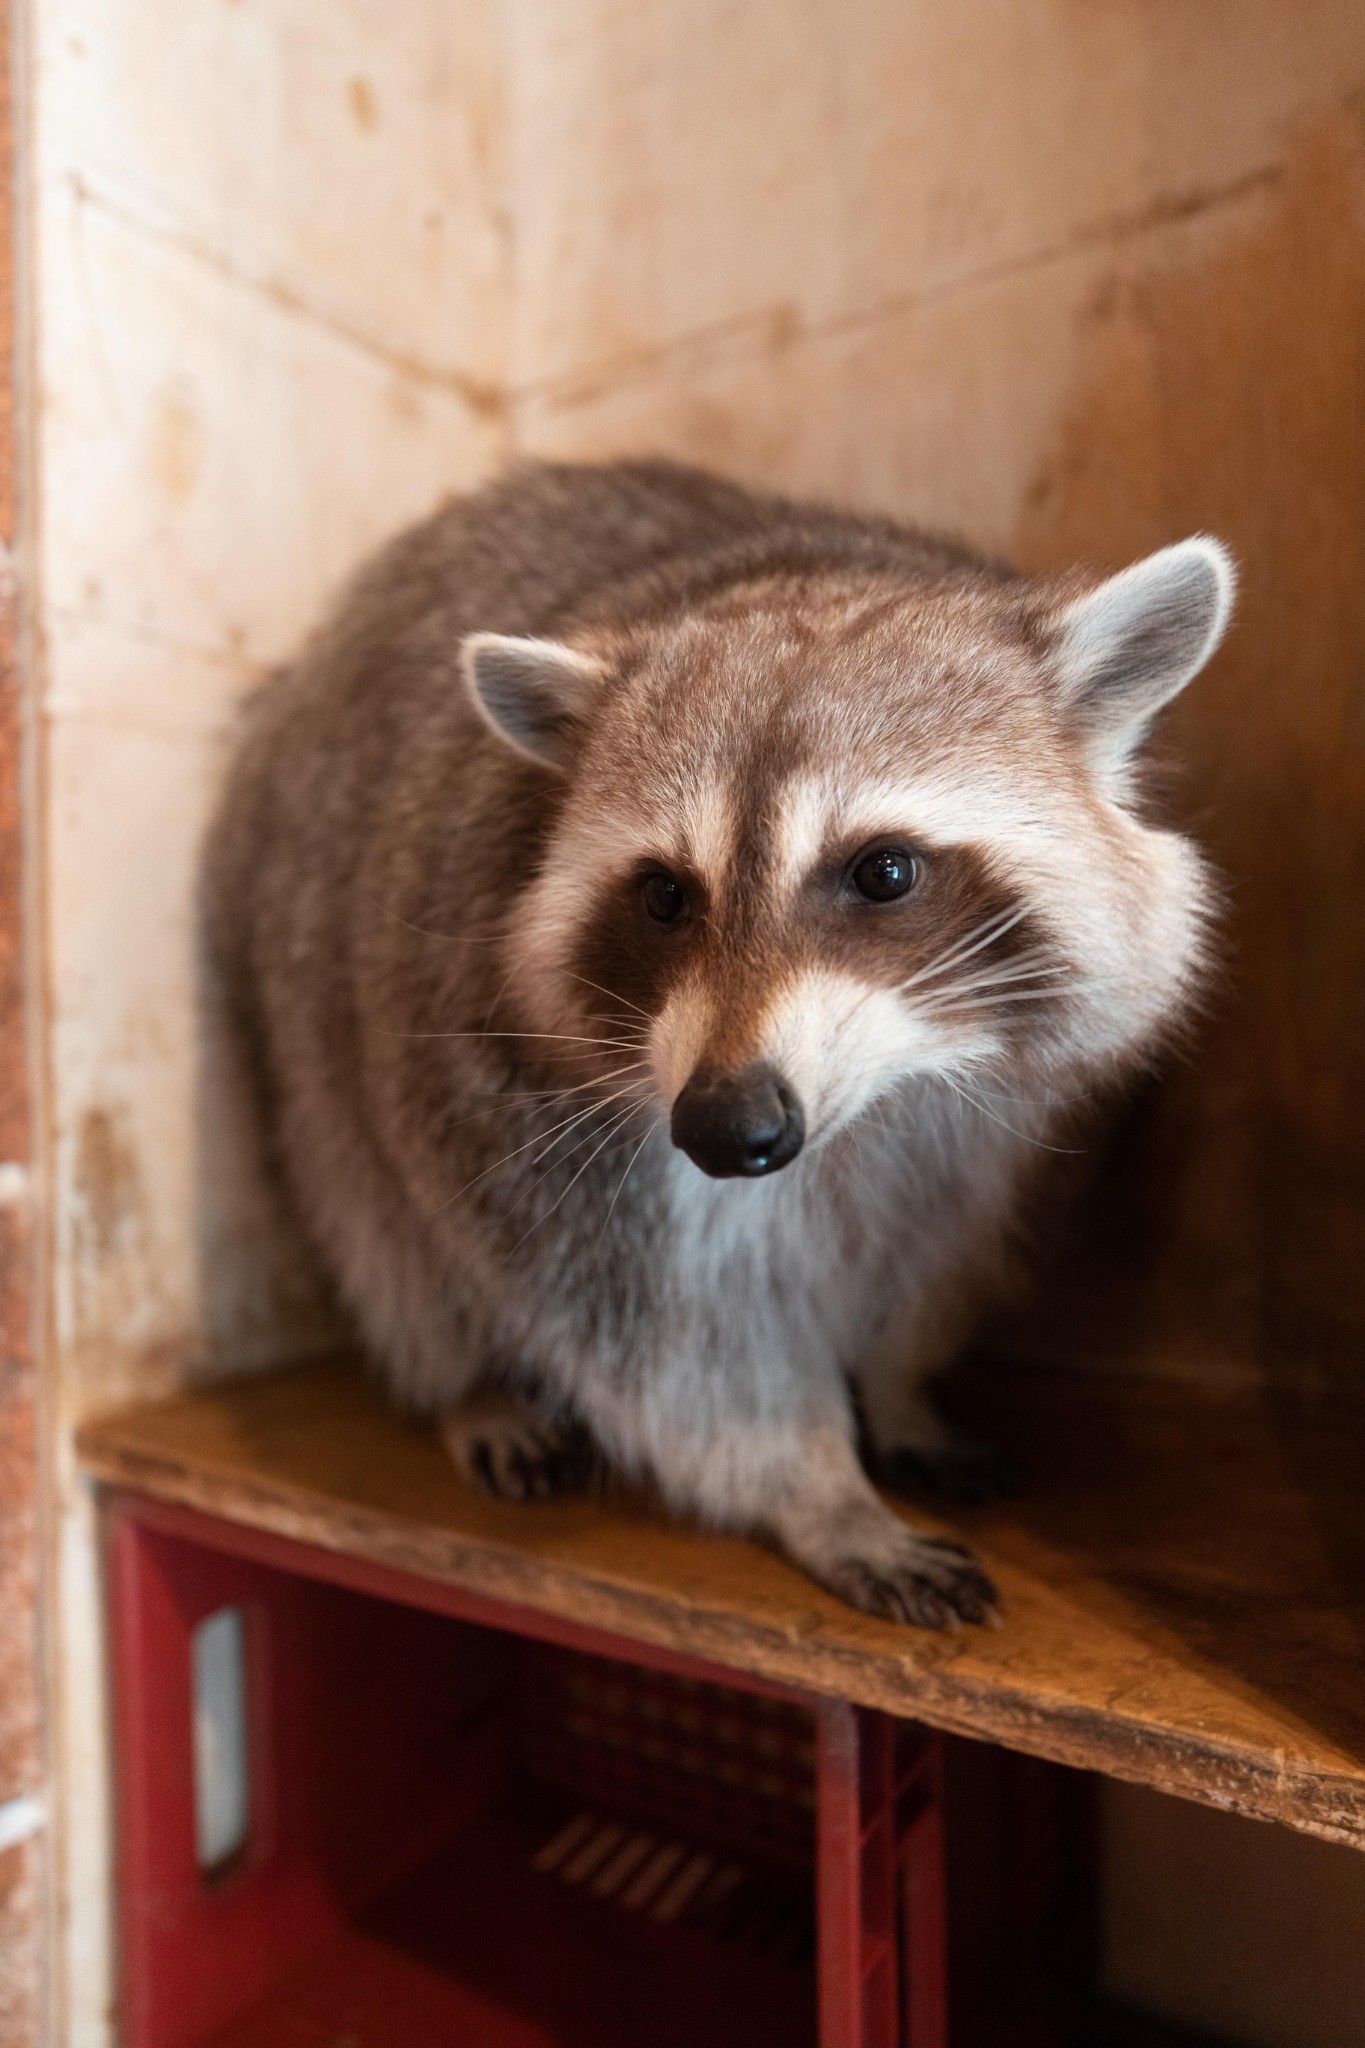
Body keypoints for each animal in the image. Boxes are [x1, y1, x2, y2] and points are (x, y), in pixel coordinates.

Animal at [205, 456, 1236, 1622]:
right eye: (663, 895)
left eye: (884, 870)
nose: (727, 1127)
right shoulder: (520, 1097)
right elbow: (663, 1334)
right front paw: (817, 1485)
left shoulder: (998, 1115)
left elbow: (938, 1236)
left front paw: (900, 1382)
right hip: (300, 995)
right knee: (375, 1212)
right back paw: (468, 1382)